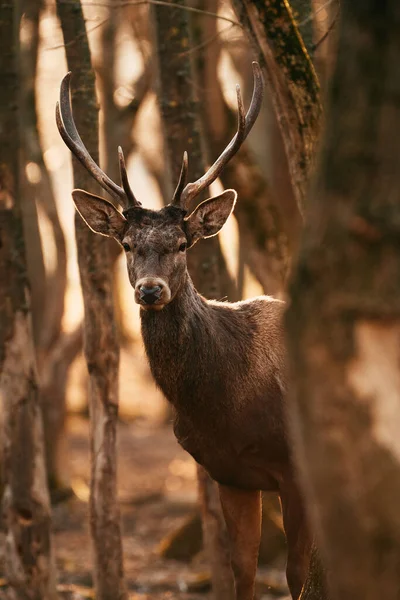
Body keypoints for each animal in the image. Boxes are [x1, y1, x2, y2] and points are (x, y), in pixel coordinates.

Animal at [56, 64, 312, 600]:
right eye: (127, 244)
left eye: (180, 244)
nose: (150, 290)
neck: (225, 407)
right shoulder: (229, 473)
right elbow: (242, 571)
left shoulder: (297, 468)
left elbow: (297, 575)